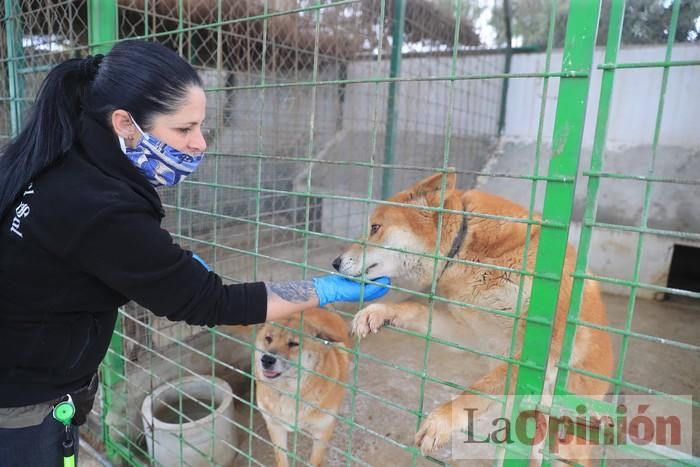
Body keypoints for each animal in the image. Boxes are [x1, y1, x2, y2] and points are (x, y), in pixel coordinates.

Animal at [254, 308, 350, 467]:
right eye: (268, 339)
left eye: (293, 343)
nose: (266, 359)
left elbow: (314, 462)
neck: (288, 392)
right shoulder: (275, 426)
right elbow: (281, 459)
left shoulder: (321, 434)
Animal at [334, 172, 612, 464]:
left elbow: (477, 390)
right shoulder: (470, 334)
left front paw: (441, 421)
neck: (467, 249)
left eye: (375, 227)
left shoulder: (542, 351)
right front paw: (379, 312)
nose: (335, 262)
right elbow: (415, 309)